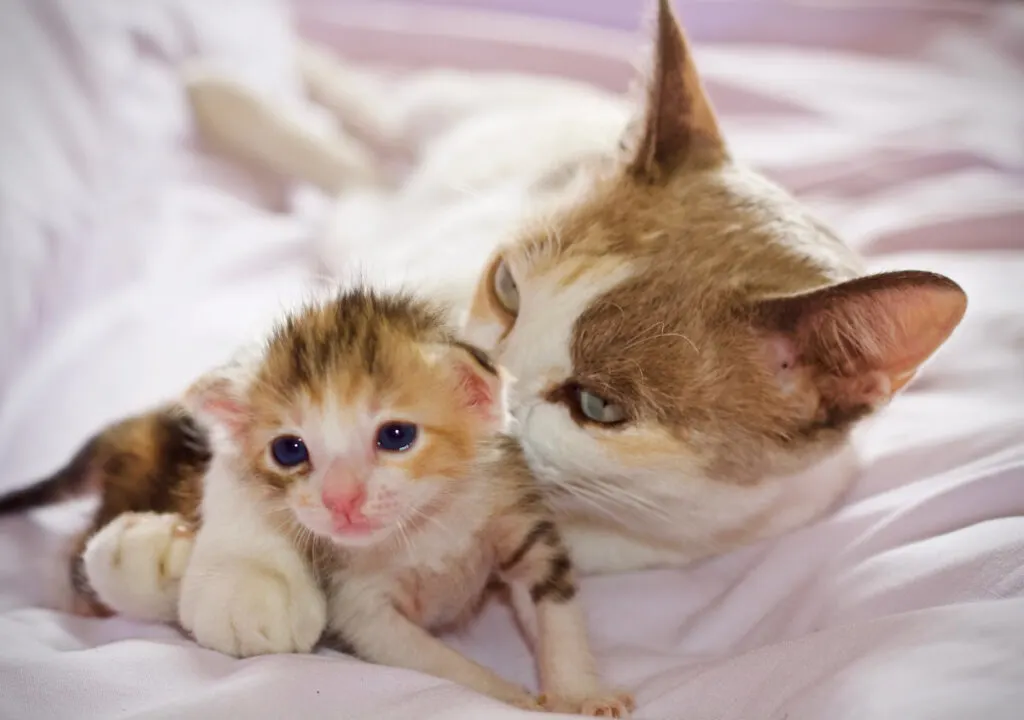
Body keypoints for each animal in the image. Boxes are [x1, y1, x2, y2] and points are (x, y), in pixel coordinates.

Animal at [2, 290, 630, 716]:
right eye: (289, 450)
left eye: (396, 436)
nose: (340, 499)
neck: (426, 526)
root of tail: (136, 430)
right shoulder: (359, 606)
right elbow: (434, 662)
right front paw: (508, 696)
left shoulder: (515, 518)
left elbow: (556, 614)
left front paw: (580, 693)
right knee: (78, 549)